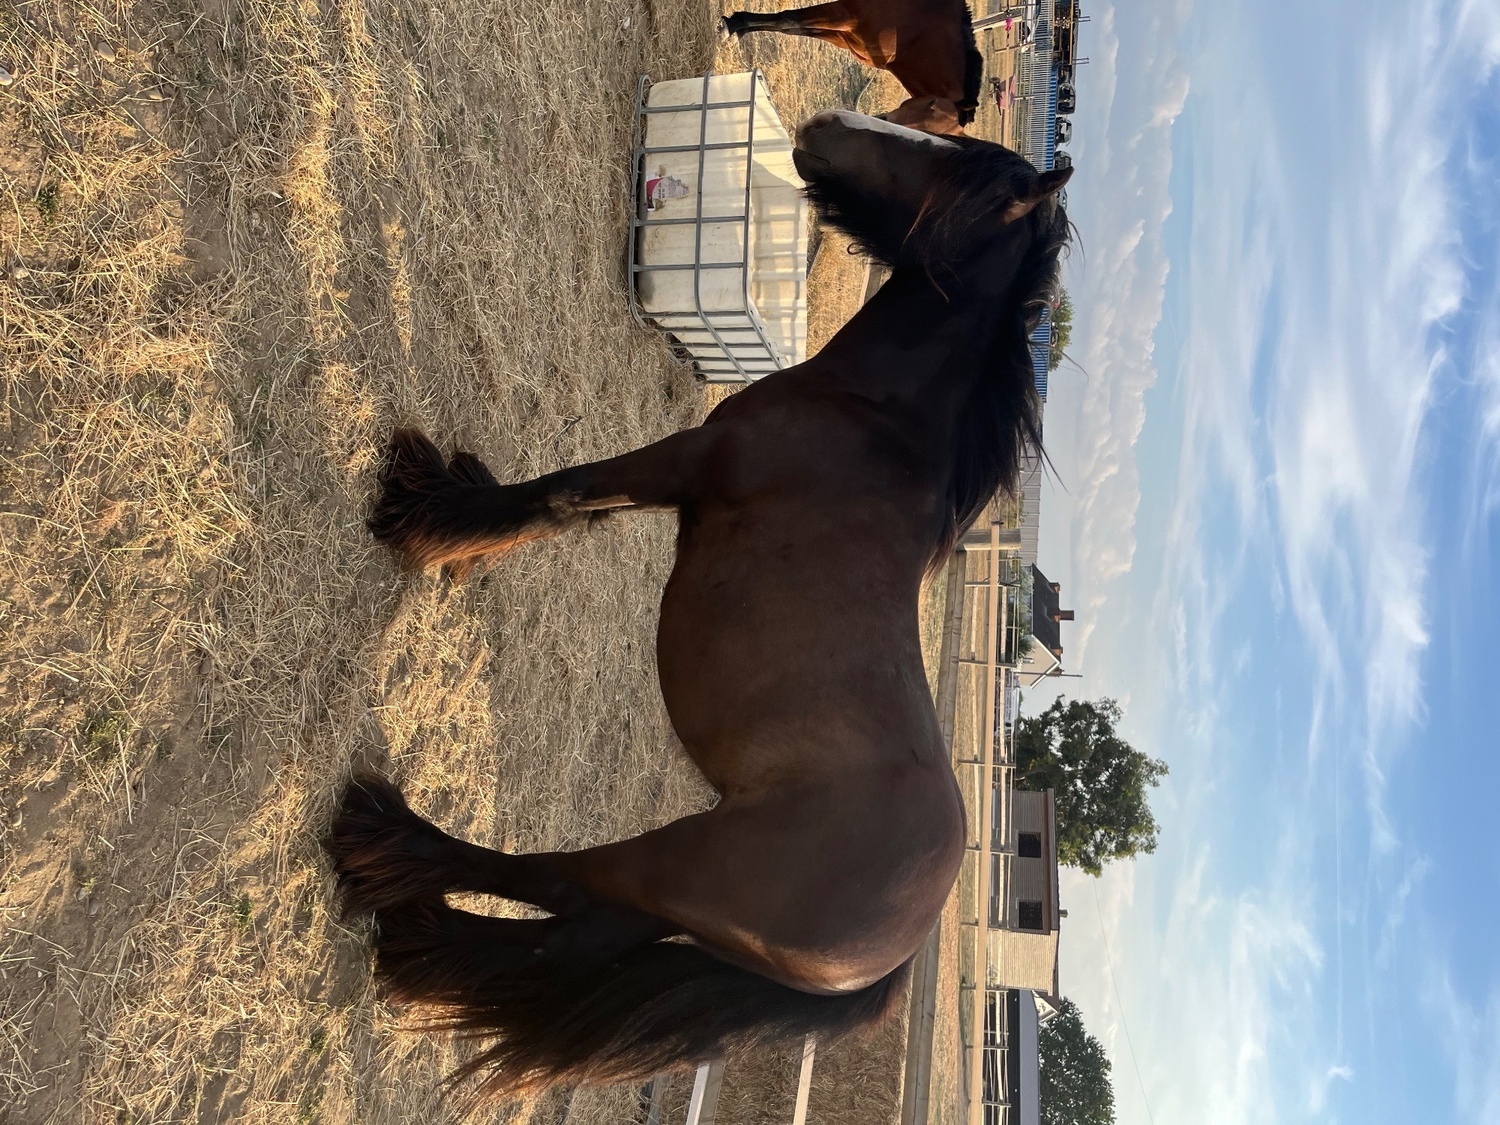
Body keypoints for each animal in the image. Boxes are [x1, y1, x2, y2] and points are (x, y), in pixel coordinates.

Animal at [326, 111, 1071, 1102]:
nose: (826, 126)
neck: (875, 421)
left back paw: (392, 843)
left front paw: (425, 512)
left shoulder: (682, 462)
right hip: (678, 904)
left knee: (559, 887)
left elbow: (558, 494)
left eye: (952, 164)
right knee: (575, 939)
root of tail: (897, 949)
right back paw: (418, 937)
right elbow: (565, 507)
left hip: (674, 866)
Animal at [723, 0, 985, 126]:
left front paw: (739, 26)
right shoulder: (845, 14)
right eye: (932, 108)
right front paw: (733, 24)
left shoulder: (846, 35)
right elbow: (788, 20)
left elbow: (791, 27)